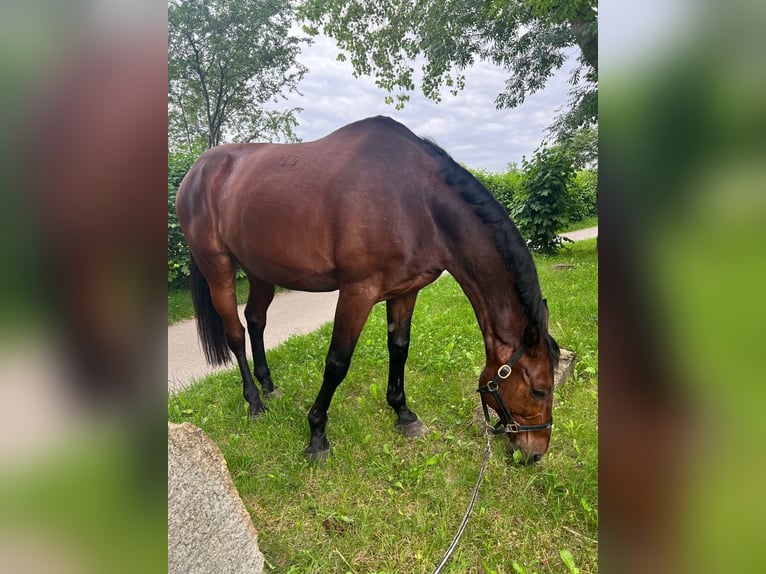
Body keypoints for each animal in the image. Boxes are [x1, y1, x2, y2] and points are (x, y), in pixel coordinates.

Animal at [177, 117, 560, 464]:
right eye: (539, 390)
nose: (535, 453)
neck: (417, 201)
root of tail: (195, 173)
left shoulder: (405, 292)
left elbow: (399, 348)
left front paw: (403, 413)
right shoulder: (357, 293)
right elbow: (337, 363)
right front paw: (317, 435)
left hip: (260, 270)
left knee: (256, 320)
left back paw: (269, 387)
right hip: (218, 268)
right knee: (236, 333)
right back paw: (254, 402)